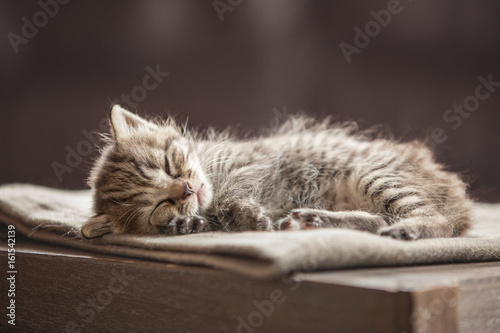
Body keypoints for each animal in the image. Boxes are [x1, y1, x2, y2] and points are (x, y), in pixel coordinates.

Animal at [80, 105, 470, 240]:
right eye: (160, 205)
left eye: (167, 164)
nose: (187, 190)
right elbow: (212, 218)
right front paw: (186, 224)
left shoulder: (257, 162)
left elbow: (234, 196)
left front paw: (245, 214)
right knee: (377, 221)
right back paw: (315, 219)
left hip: (373, 175)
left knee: (437, 220)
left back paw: (407, 229)